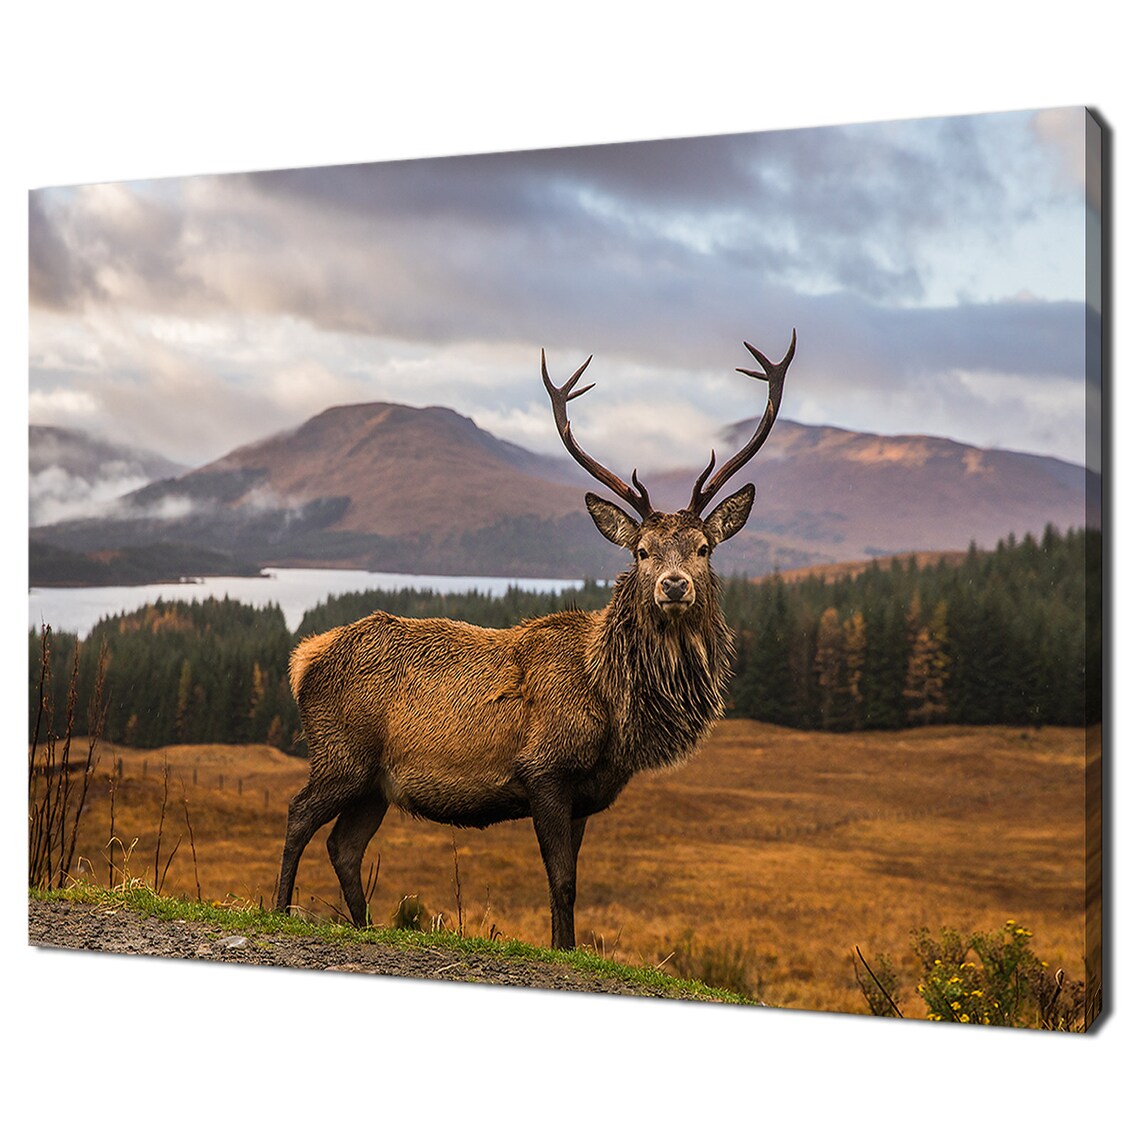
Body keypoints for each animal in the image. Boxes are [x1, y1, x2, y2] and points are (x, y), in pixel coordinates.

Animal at [275, 332, 796, 949]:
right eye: (641, 551)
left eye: (704, 547)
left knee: (344, 845)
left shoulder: (587, 794)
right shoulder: (544, 770)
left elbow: (572, 880)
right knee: (298, 815)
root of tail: (303, 659)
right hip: (341, 754)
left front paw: (566, 945)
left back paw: (364, 925)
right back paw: (278, 909)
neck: (613, 706)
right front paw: (562, 946)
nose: (674, 585)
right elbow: (562, 881)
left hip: (377, 783)